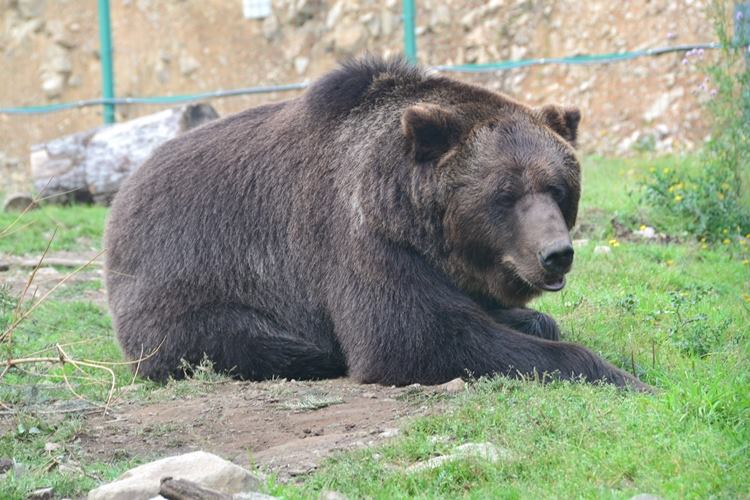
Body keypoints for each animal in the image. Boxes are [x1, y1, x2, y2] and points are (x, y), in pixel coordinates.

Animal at [106, 55, 652, 390]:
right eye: (506, 193)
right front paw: (622, 375)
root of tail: (123, 196)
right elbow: (413, 337)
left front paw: (533, 320)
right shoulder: (356, 239)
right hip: (192, 283)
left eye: (558, 188)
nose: (556, 253)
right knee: (252, 341)